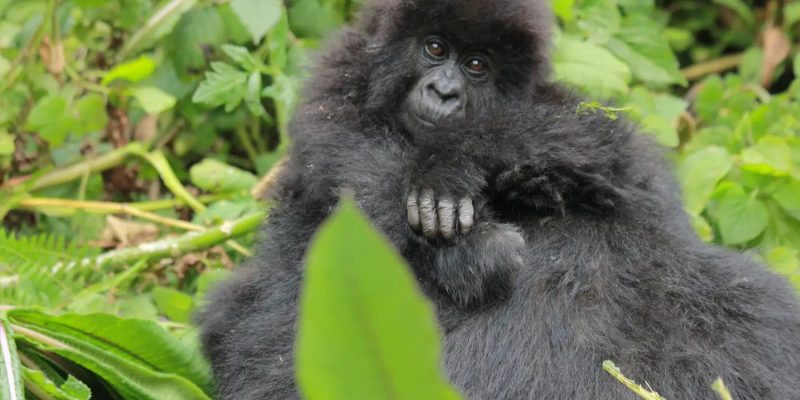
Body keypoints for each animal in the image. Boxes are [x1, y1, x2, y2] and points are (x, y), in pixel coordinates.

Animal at [199, 0, 800, 398]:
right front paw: (472, 246)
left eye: (477, 65)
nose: (444, 92)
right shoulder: (336, 81)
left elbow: (620, 160)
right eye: (434, 48)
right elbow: (351, 170)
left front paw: (458, 165)